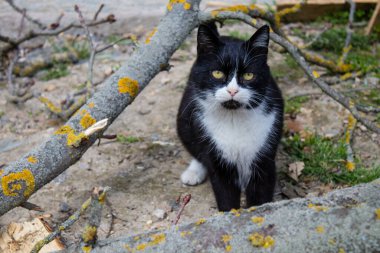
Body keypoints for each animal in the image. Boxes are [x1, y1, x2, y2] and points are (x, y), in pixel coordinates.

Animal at [177, 22, 284, 211]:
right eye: (217, 73)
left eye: (248, 75)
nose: (232, 90)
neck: (233, 118)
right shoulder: (218, 161)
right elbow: (225, 196)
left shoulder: (264, 159)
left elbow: (261, 198)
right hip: (184, 119)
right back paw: (193, 172)